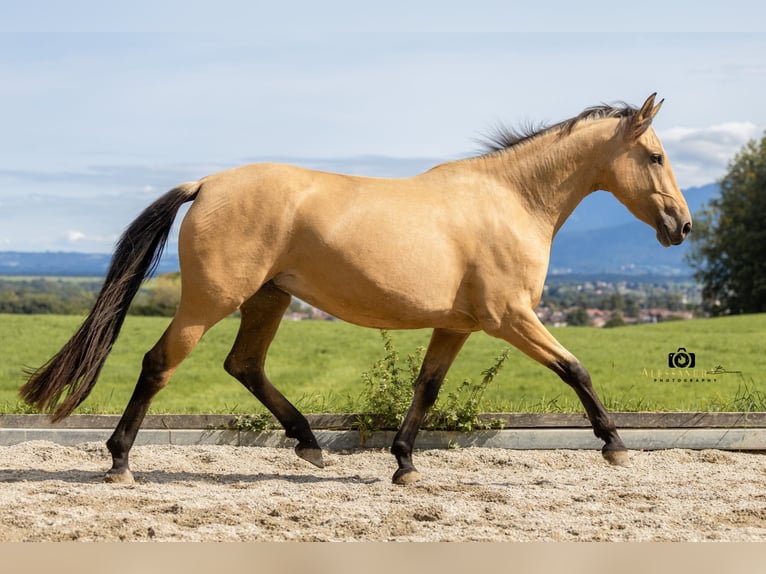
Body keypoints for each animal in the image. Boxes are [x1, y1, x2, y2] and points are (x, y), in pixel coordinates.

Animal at [21, 93, 691, 485]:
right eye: (656, 157)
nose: (682, 226)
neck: (510, 201)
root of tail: (206, 184)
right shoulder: (510, 317)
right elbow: (575, 368)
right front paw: (615, 447)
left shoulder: (457, 324)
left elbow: (426, 388)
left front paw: (404, 465)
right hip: (210, 301)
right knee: (160, 362)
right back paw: (119, 462)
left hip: (269, 298)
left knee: (244, 365)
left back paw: (310, 445)